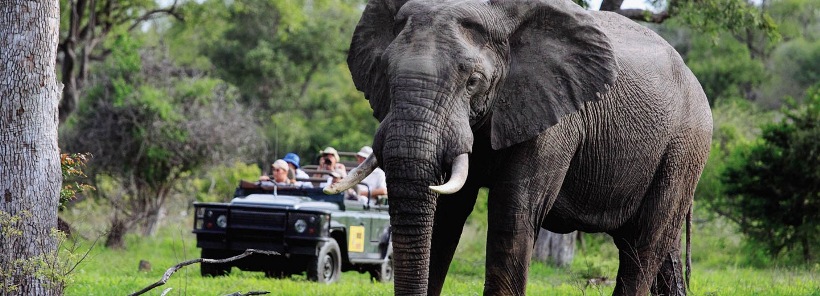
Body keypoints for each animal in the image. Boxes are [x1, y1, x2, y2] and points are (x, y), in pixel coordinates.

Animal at [326, 0, 712, 294]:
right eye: (385, 73)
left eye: (473, 81)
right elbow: (446, 216)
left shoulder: (554, 116)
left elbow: (512, 216)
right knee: (660, 248)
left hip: (684, 148)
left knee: (643, 245)